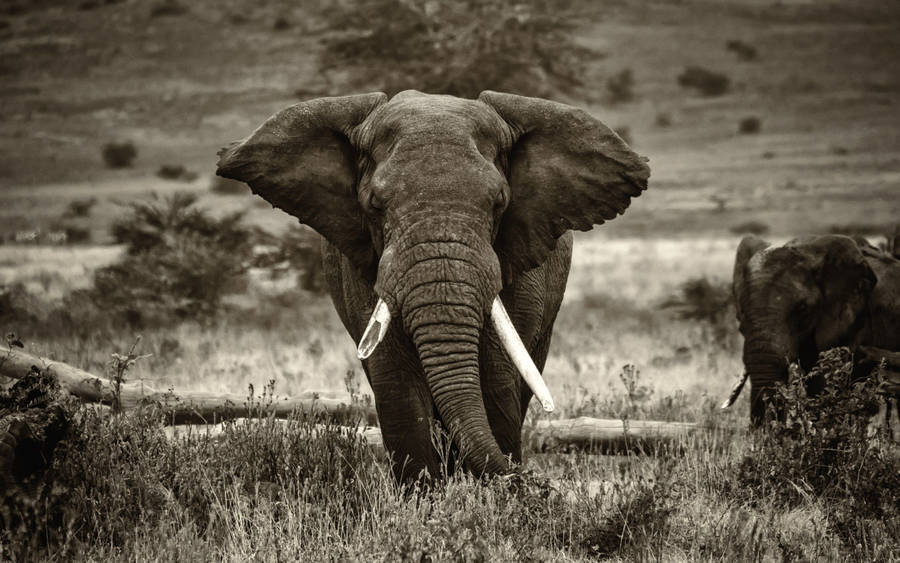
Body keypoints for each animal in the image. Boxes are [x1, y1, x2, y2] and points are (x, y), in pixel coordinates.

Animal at [216, 90, 650, 481]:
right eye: (375, 205)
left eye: (499, 203)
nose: (529, 480)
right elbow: (397, 383)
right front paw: (424, 502)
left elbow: (495, 376)